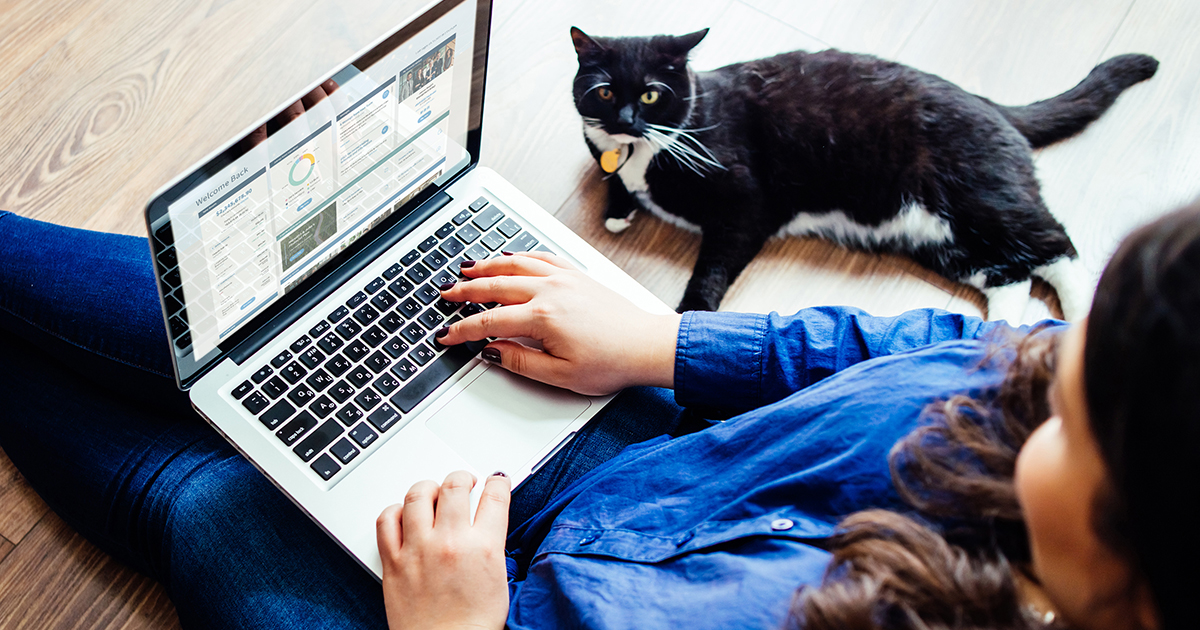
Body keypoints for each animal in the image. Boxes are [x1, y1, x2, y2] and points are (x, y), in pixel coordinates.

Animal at [573, 27, 1161, 319]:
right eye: (604, 92)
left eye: (653, 94)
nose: (627, 119)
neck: (644, 150)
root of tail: (990, 103)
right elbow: (614, 180)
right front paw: (619, 209)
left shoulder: (747, 203)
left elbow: (714, 265)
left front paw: (690, 313)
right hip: (942, 238)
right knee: (1010, 275)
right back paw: (991, 337)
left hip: (982, 200)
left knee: (1056, 247)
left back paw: (1081, 319)